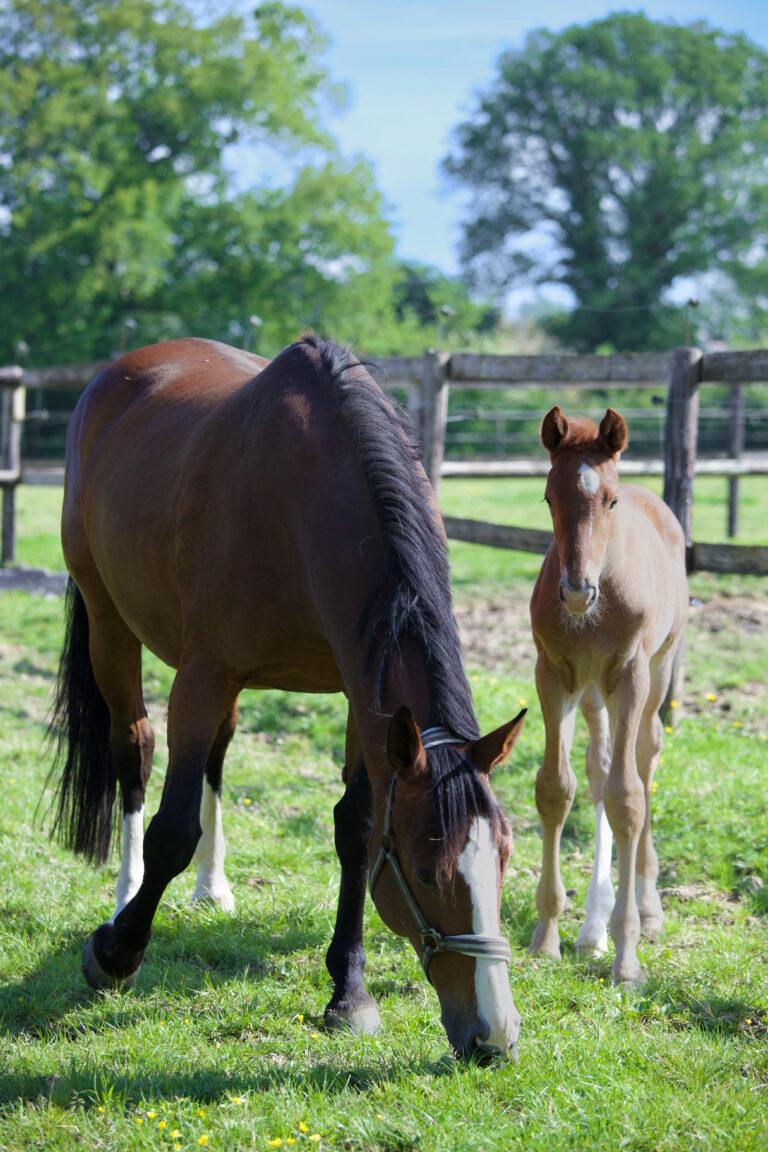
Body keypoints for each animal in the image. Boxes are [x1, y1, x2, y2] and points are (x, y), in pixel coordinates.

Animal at [49, 334, 529, 1059]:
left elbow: (356, 829)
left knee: (217, 758)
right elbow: (172, 829)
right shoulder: (202, 676)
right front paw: (116, 951)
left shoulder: (365, 693)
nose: (493, 1037)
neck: (302, 499)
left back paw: (212, 888)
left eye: (502, 858)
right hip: (111, 625)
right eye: (426, 871)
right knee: (133, 751)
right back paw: (124, 893)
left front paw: (349, 991)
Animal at [529, 405, 690, 981]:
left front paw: (628, 957)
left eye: (611, 501)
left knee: (644, 756)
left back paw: (646, 906)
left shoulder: (630, 672)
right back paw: (591, 927)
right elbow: (557, 788)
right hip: (594, 692)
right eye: (549, 497)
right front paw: (547, 939)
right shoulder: (553, 673)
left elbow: (628, 797)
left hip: (655, 673)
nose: (577, 592)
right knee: (598, 769)